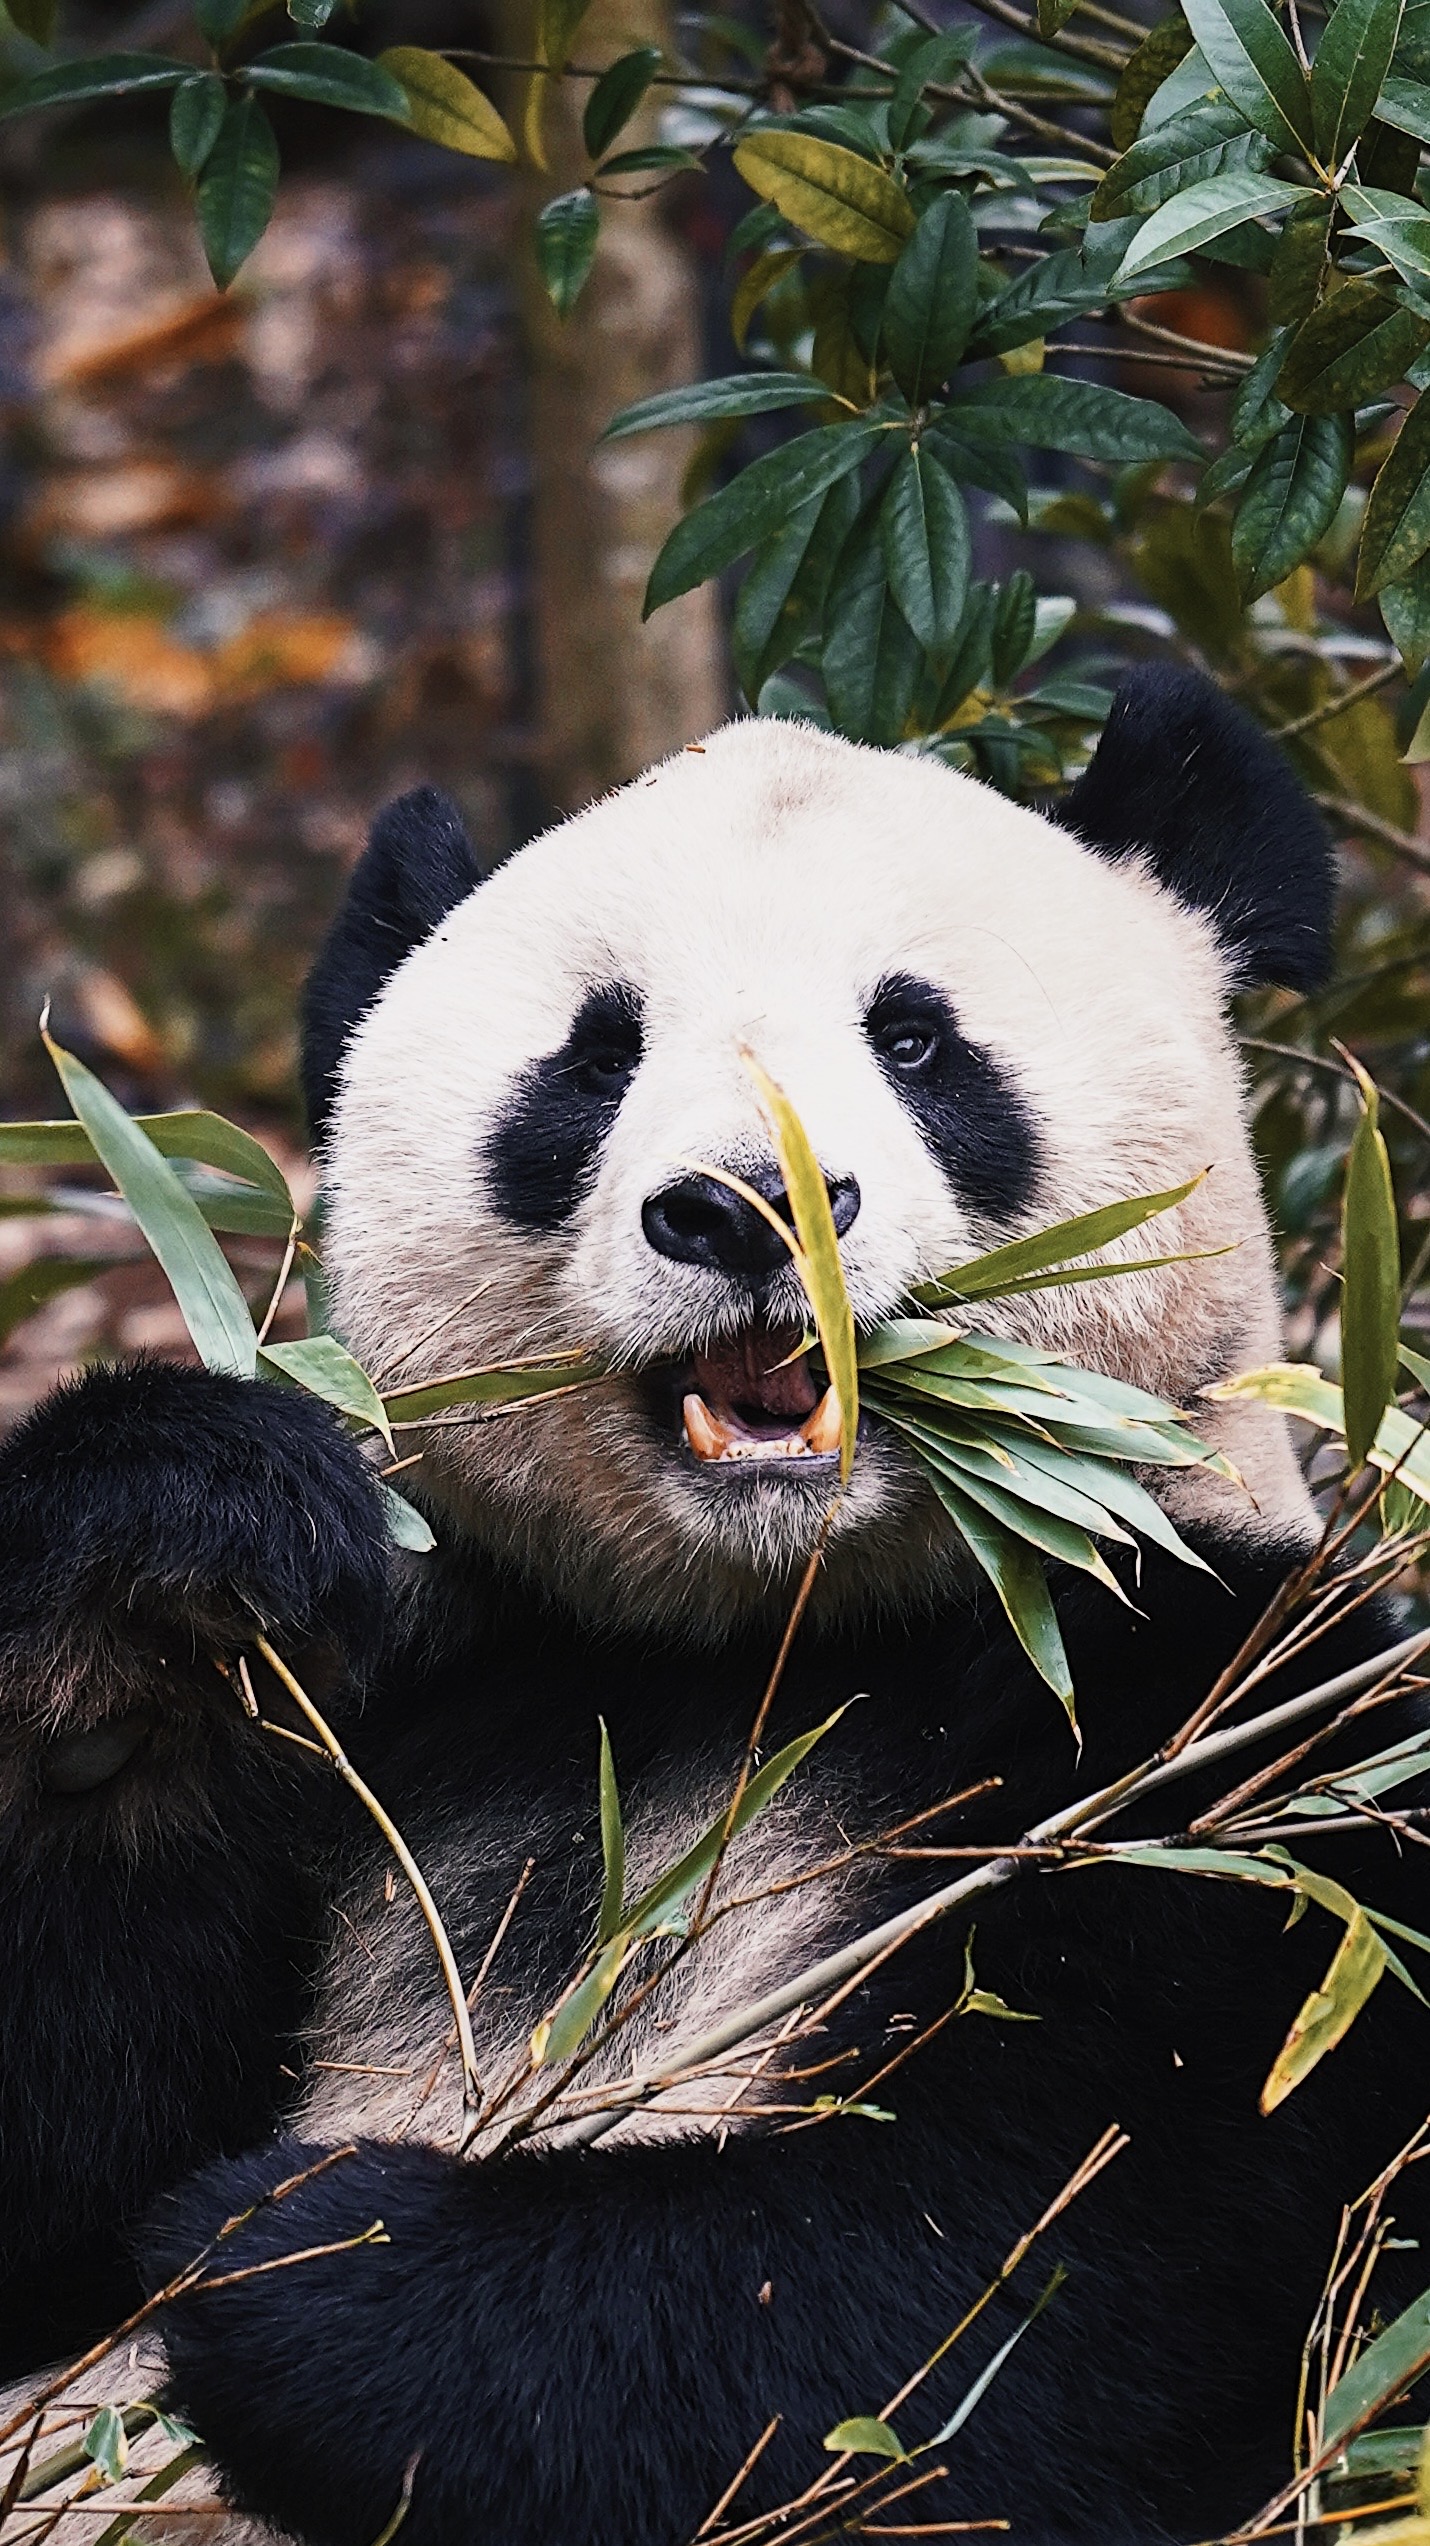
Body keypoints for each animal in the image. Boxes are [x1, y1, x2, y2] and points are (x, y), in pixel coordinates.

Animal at [0, 667, 1425, 2546]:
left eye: (916, 1037)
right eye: (595, 1053)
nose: (747, 1206)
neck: (762, 1638)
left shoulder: (1231, 1739)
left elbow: (999, 2279)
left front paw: (300, 2253)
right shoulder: (424, 1701)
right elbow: (56, 2184)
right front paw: (160, 1575)